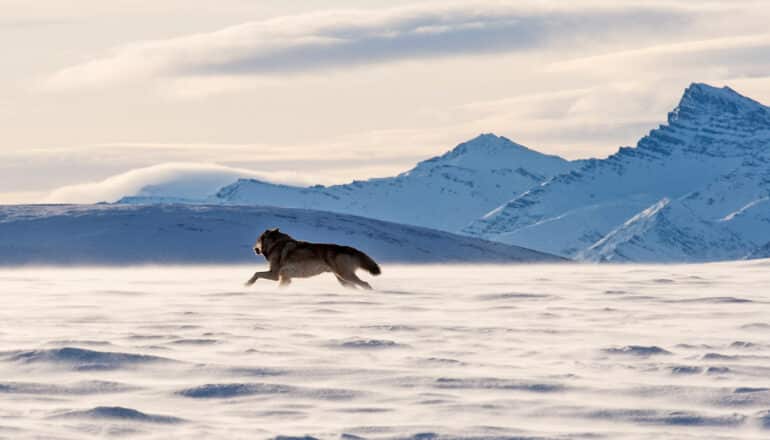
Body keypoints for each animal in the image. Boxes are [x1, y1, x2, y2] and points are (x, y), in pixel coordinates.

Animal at [244, 229, 380, 290]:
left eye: (258, 240)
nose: (253, 248)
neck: (276, 244)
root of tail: (350, 248)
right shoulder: (285, 278)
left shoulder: (275, 275)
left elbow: (256, 273)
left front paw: (247, 284)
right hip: (343, 280)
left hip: (345, 276)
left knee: (366, 284)